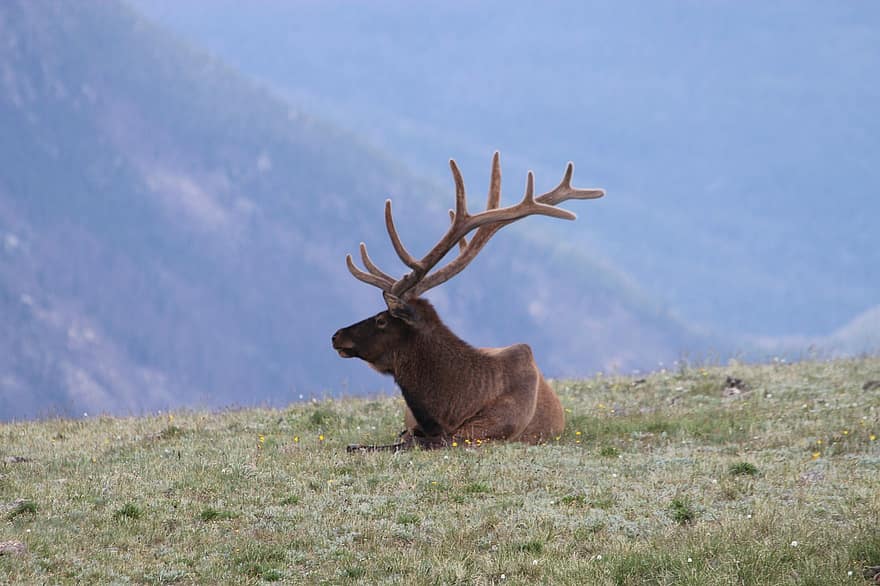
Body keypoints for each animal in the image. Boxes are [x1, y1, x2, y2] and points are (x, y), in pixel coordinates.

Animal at [332, 153, 604, 450]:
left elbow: (419, 443)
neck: (450, 409)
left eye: (381, 320)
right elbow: (404, 438)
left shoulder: (482, 433)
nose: (336, 335)